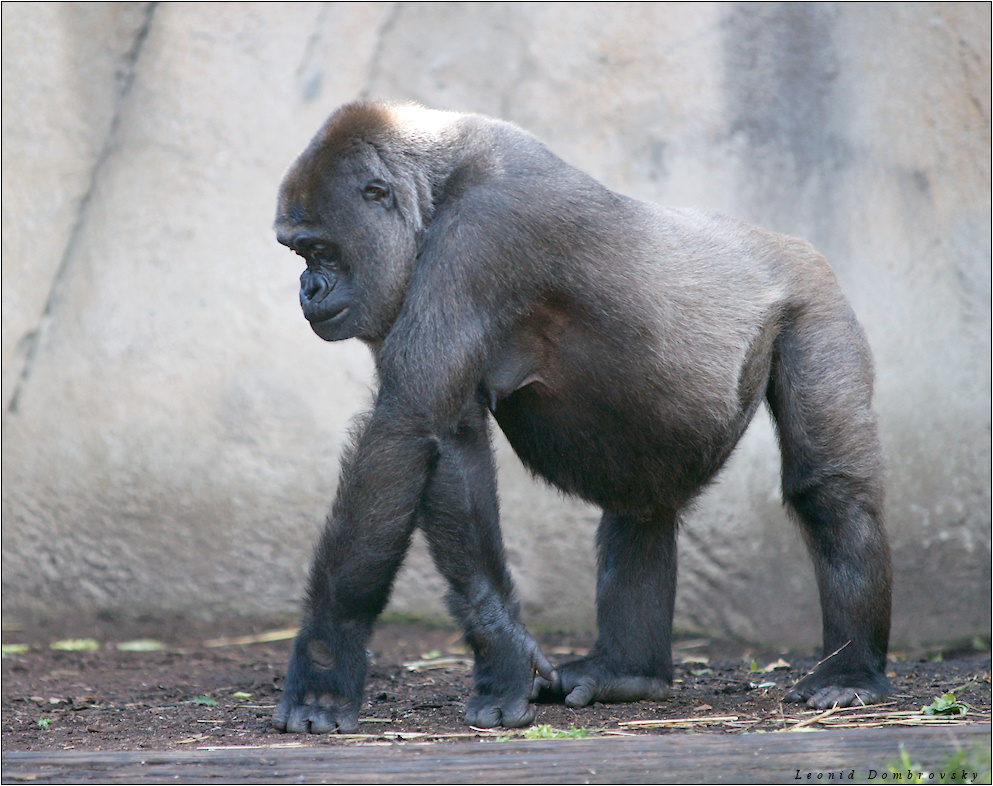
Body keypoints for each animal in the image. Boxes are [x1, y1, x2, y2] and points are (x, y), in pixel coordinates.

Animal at [272, 101, 892, 732]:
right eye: (299, 253)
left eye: (319, 249)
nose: (307, 288)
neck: (442, 180)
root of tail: (789, 243)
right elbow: (447, 439)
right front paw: (504, 649)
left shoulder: (483, 234)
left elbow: (405, 427)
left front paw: (324, 667)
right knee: (642, 505)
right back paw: (629, 671)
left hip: (814, 296)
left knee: (831, 492)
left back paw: (850, 671)